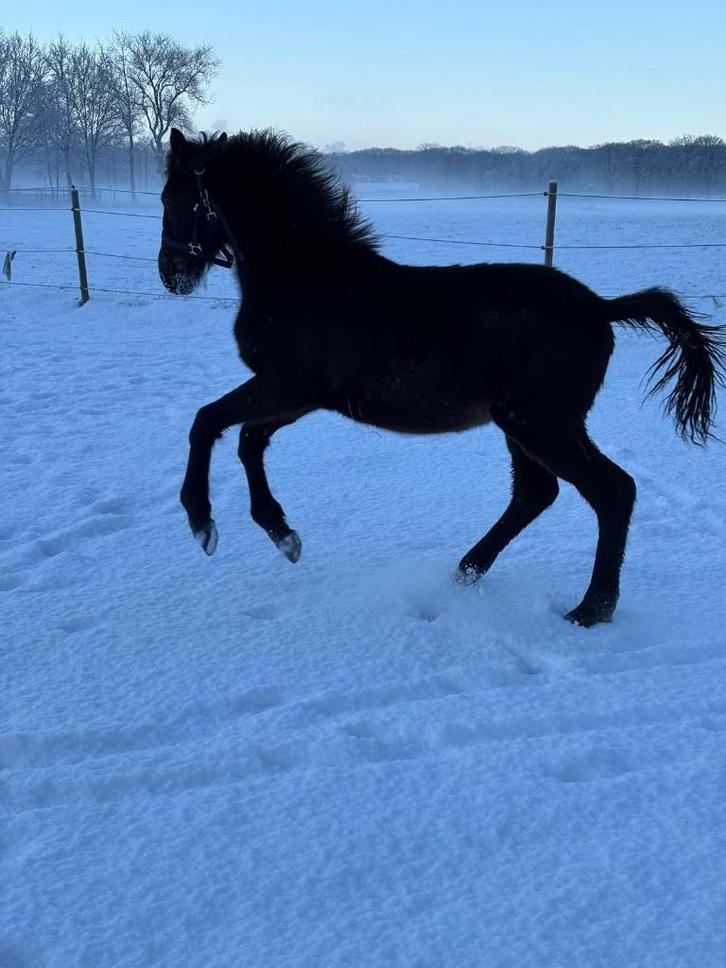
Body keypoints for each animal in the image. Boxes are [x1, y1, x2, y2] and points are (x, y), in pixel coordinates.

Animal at [158, 128, 724, 628]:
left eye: (172, 196)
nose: (169, 273)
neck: (304, 278)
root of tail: (601, 308)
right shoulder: (300, 396)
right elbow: (248, 440)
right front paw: (283, 535)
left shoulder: (286, 386)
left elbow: (206, 422)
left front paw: (202, 522)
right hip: (522, 424)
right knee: (536, 493)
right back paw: (466, 573)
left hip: (543, 424)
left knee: (611, 491)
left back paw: (590, 610)